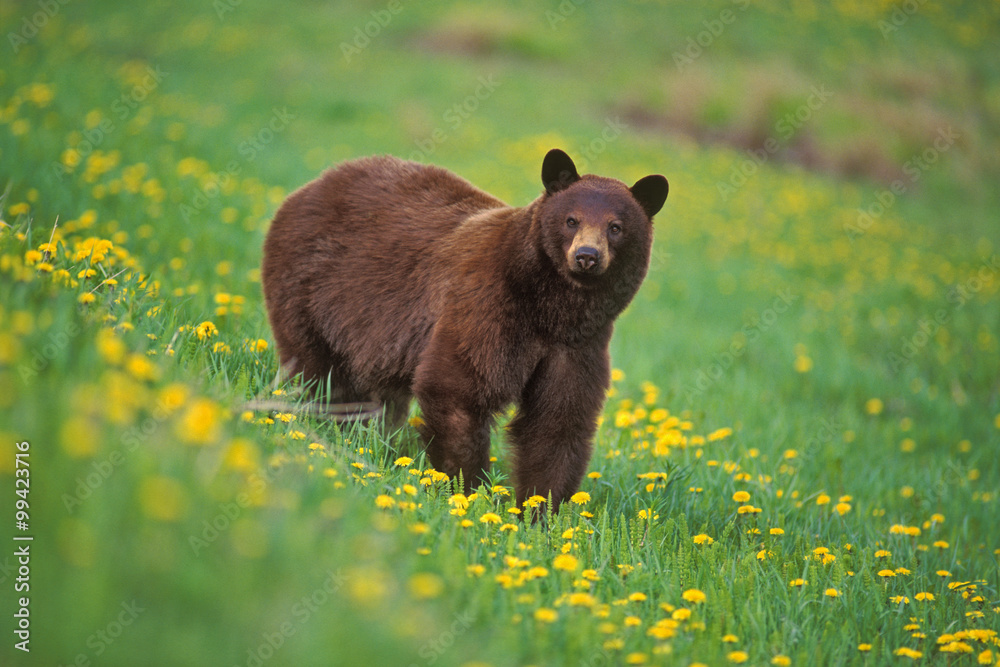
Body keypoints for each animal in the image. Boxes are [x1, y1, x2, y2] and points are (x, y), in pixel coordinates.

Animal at [261, 149, 668, 510]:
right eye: (572, 220)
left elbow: (557, 422)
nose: (586, 256)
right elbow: (458, 388)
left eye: (615, 227)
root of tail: (313, 185)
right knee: (321, 373)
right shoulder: (485, 307)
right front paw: (466, 491)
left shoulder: (579, 344)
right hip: (314, 294)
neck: (550, 308)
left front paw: (540, 511)